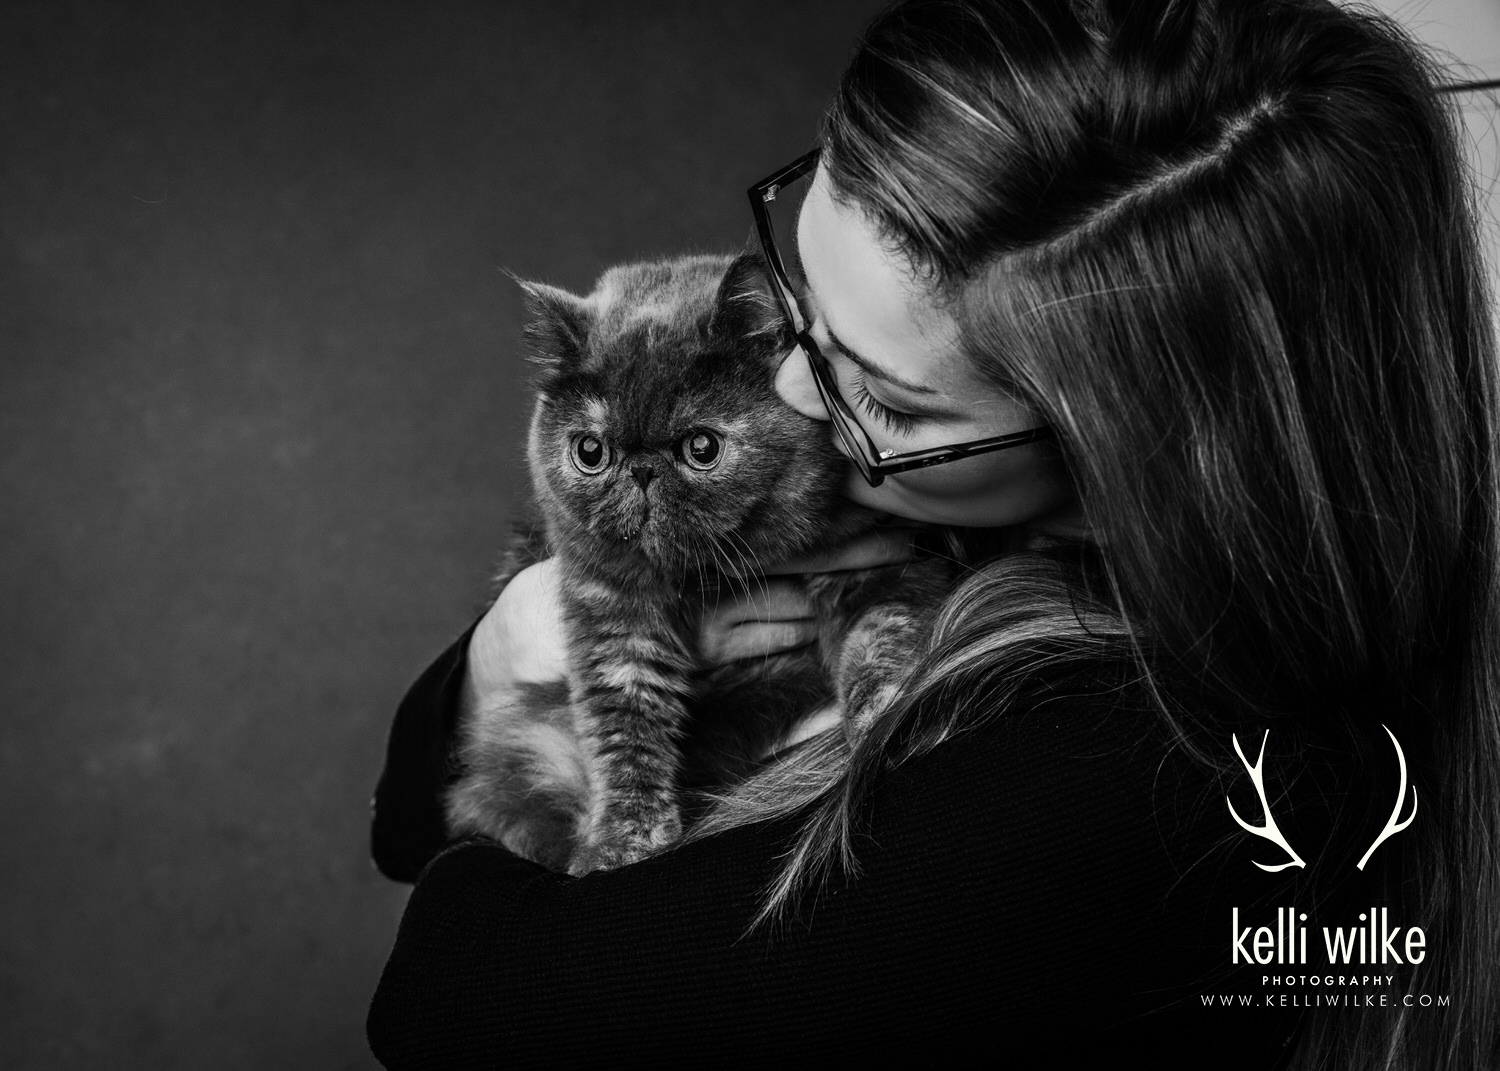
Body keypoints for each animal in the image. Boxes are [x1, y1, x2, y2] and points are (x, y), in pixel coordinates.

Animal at [441, 255, 948, 870]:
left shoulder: (873, 565)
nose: (640, 471)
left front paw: (885, 716)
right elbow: (624, 722)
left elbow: (879, 637)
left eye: (701, 448)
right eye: (590, 452)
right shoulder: (611, 606)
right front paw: (625, 840)